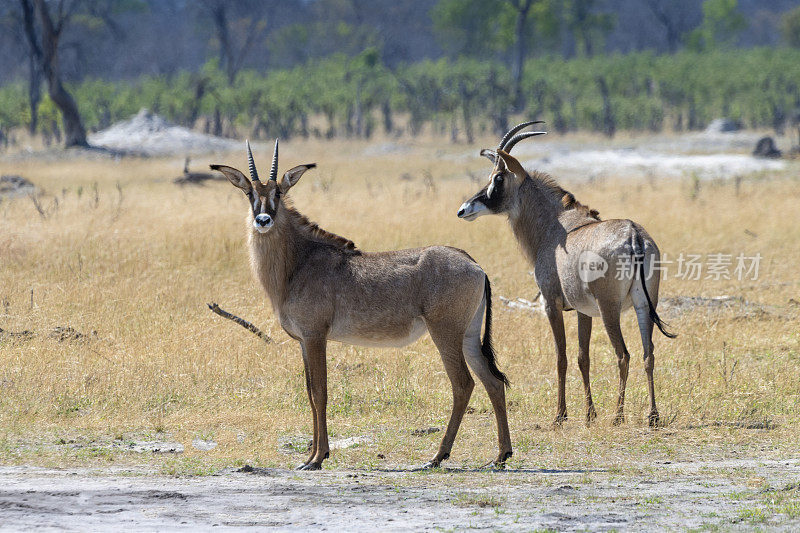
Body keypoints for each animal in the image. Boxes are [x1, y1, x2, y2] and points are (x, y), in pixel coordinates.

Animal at [211, 139, 512, 468]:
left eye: (279, 192)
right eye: (249, 193)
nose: (263, 220)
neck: (299, 263)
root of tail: (474, 264)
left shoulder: (316, 337)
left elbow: (320, 392)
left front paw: (318, 457)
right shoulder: (302, 341)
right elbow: (309, 392)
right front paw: (313, 455)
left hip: (446, 333)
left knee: (463, 384)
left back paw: (437, 456)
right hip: (469, 336)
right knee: (493, 381)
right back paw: (501, 455)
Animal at [456, 121, 676, 428]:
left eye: (497, 178)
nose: (463, 209)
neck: (555, 225)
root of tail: (634, 236)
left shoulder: (551, 304)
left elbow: (561, 357)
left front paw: (560, 415)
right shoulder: (584, 311)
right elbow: (583, 357)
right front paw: (589, 413)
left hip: (610, 309)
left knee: (623, 355)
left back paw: (618, 415)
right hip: (645, 304)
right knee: (648, 353)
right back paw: (652, 415)